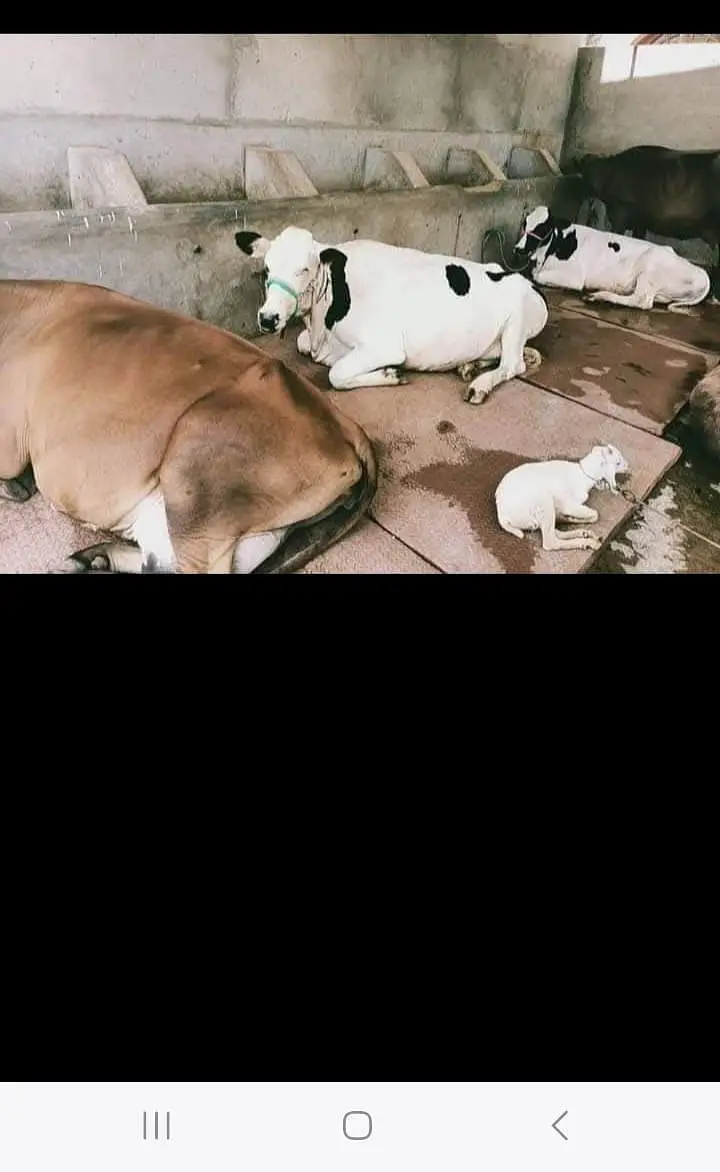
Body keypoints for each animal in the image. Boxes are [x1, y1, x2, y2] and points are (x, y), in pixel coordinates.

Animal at [0, 279, 377, 574]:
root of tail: (347, 425)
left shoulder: (9, 445)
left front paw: (15, 488)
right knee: (158, 560)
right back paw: (91, 559)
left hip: (196, 469)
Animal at [234, 226, 549, 406]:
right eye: (266, 269)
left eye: (304, 269)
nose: (268, 318)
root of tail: (523, 279)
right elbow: (301, 344)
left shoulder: (384, 346)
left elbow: (337, 375)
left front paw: (391, 374)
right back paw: (469, 366)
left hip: (516, 320)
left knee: (513, 364)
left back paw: (479, 385)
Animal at [511, 206, 711, 312]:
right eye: (524, 224)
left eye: (541, 228)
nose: (518, 249)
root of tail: (701, 273)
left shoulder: (574, 277)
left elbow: (537, 277)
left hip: (650, 270)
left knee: (642, 300)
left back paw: (598, 296)